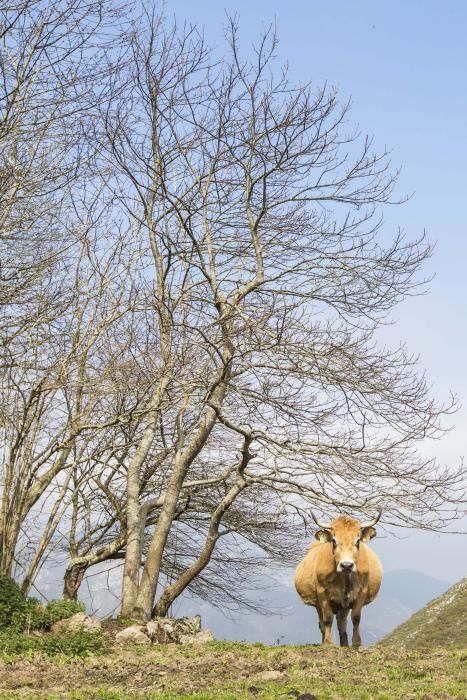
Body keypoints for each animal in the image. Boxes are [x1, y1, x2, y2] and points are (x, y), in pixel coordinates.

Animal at [296, 512, 384, 648]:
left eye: (357, 541)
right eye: (334, 541)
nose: (346, 565)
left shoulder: (362, 590)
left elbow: (356, 617)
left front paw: (356, 643)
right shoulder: (321, 591)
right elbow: (327, 618)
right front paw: (328, 643)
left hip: (344, 605)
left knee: (342, 623)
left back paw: (344, 644)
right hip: (317, 603)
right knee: (322, 623)